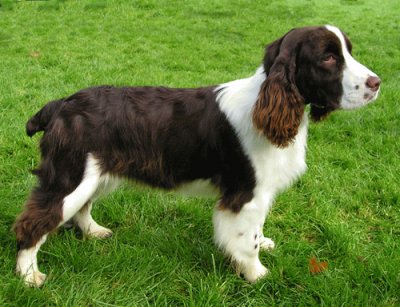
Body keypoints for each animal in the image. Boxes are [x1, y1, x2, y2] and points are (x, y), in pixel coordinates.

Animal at [13, 25, 382, 288]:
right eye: (328, 58)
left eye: (348, 51)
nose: (377, 83)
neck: (266, 104)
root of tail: (61, 104)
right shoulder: (245, 193)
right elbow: (245, 240)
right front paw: (257, 274)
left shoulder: (260, 192)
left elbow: (257, 229)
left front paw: (264, 244)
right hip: (71, 176)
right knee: (34, 221)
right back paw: (29, 275)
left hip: (95, 172)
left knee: (81, 208)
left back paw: (94, 232)